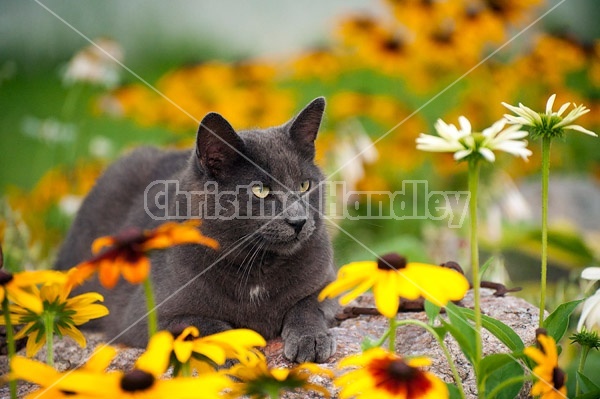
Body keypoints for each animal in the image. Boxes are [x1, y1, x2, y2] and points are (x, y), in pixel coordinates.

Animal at [55, 97, 338, 366]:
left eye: (304, 185)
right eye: (260, 190)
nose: (299, 220)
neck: (257, 267)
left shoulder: (329, 281)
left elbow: (309, 303)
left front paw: (310, 339)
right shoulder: (145, 317)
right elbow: (205, 323)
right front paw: (238, 349)